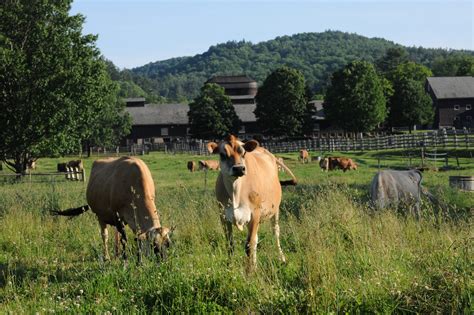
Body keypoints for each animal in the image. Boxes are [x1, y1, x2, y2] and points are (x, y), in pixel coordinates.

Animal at [207, 135, 296, 272]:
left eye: (243, 153)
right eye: (222, 154)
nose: (239, 168)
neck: (236, 193)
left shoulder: (255, 215)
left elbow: (249, 245)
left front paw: (249, 272)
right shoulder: (223, 216)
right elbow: (230, 244)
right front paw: (230, 267)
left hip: (275, 209)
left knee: (275, 232)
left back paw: (281, 258)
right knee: (256, 239)